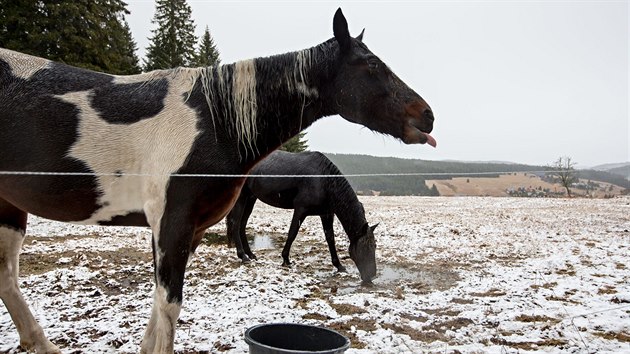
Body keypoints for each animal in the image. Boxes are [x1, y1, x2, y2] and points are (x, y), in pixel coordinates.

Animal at [226, 151, 378, 280]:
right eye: (366, 247)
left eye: (375, 246)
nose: (371, 276)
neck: (323, 180)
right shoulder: (300, 210)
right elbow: (292, 233)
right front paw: (286, 259)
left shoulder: (326, 214)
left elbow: (330, 239)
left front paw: (339, 266)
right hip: (242, 197)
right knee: (235, 223)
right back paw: (243, 256)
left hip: (251, 198)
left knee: (242, 225)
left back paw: (250, 254)